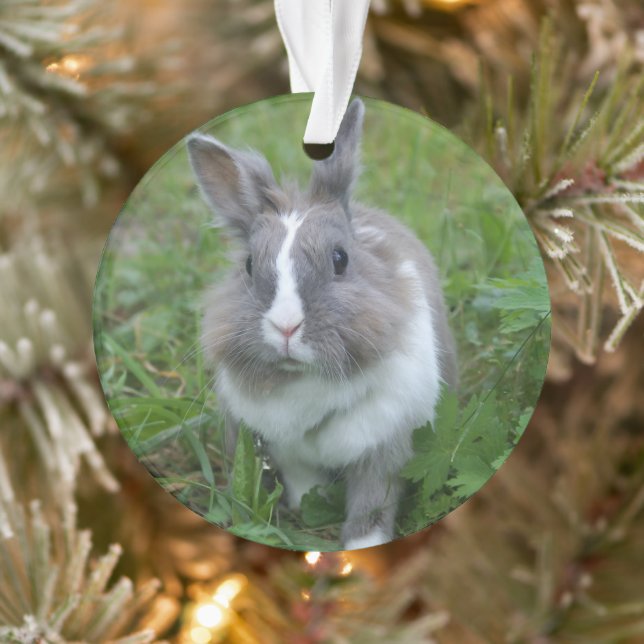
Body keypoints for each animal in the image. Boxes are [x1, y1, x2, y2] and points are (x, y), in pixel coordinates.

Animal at [188, 98, 457, 550]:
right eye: (248, 265)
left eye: (340, 259)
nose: (286, 328)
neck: (308, 382)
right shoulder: (287, 452)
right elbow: (304, 482)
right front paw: (308, 506)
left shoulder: (384, 448)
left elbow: (372, 504)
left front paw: (363, 546)